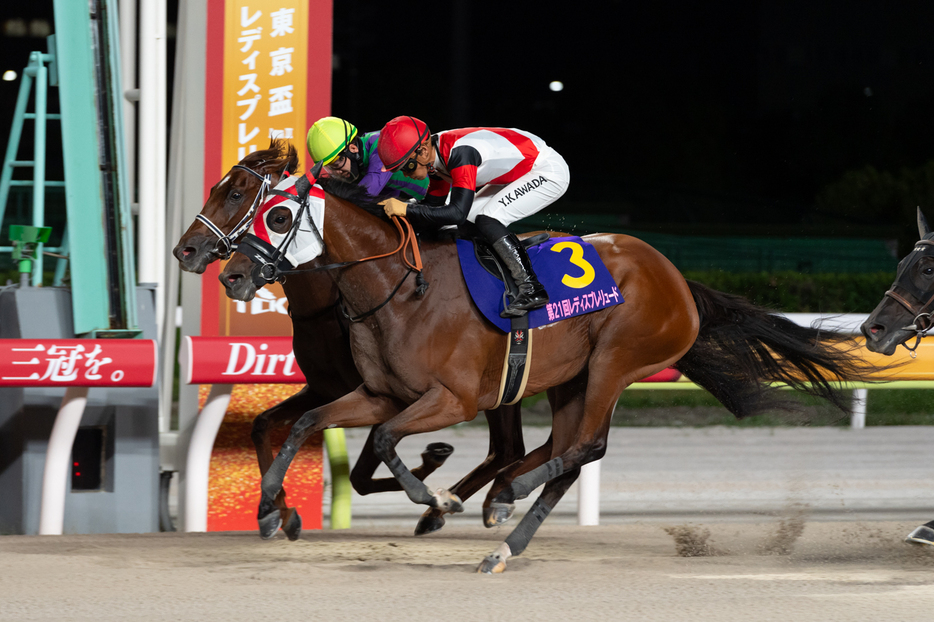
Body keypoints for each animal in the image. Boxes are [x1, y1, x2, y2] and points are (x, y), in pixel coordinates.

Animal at [173, 139, 532, 540]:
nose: (185, 250)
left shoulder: (392, 396)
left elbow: (361, 475)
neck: (327, 305)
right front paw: (277, 512)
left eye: (236, 194)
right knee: (509, 450)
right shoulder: (326, 390)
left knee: (511, 449)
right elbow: (264, 425)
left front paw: (431, 470)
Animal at [219, 176, 876, 576]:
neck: (398, 289)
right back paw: (502, 530)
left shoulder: (452, 399)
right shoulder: (380, 393)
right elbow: (307, 420)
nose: (231, 276)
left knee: (586, 446)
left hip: (616, 360)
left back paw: (503, 499)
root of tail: (678, 279)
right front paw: (273, 509)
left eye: (277, 213)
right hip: (570, 378)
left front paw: (436, 497)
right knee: (565, 452)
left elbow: (382, 440)